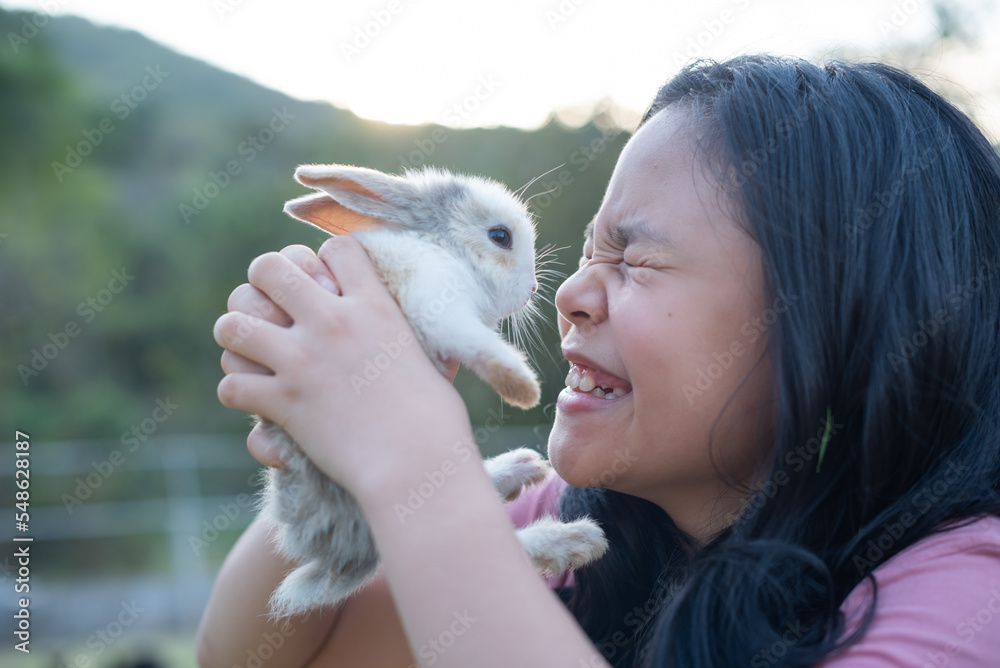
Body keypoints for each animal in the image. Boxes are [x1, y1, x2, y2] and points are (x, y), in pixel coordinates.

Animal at [254, 163, 608, 618]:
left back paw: (522, 469)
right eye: (500, 236)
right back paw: (577, 538)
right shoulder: (436, 303)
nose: (531, 289)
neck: (444, 250)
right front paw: (522, 387)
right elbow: (477, 343)